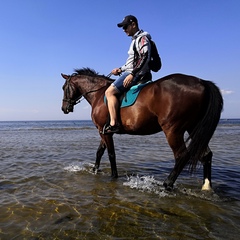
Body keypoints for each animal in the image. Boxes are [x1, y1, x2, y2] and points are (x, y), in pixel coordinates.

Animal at [61, 68, 223, 191]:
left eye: (64, 88)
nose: (64, 108)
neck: (100, 93)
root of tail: (201, 82)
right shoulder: (104, 131)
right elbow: (100, 151)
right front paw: (95, 170)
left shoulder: (103, 130)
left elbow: (111, 154)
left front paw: (113, 176)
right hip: (193, 128)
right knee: (206, 155)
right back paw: (206, 187)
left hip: (173, 130)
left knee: (181, 155)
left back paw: (167, 184)